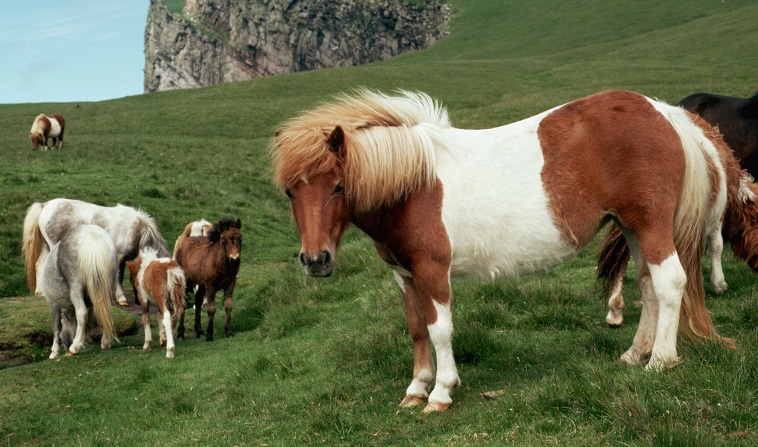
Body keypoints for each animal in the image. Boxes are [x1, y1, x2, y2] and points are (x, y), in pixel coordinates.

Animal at [22, 198, 171, 306]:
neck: (136, 230)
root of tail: (45, 205)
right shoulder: (119, 256)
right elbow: (118, 276)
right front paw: (120, 298)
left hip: (46, 245)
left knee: (40, 264)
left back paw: (40, 291)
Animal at [38, 226, 119, 358]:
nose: (66, 346)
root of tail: (94, 236)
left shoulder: (53, 303)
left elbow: (56, 326)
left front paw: (54, 352)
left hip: (76, 287)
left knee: (82, 312)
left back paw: (75, 347)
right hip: (107, 285)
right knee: (105, 310)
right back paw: (105, 342)